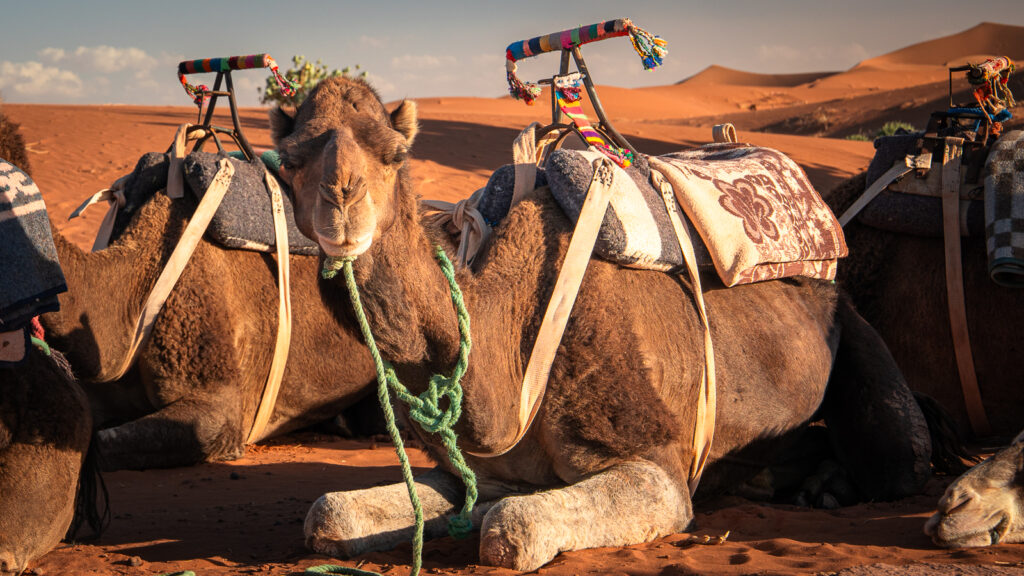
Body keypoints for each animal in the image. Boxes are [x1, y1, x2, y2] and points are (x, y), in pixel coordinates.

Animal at [272, 77, 935, 571]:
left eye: (395, 154)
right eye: (292, 158)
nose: (342, 202)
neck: (508, 346)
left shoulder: (656, 465)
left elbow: (508, 529)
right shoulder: (477, 468)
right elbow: (329, 512)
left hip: (859, 339)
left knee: (901, 462)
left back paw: (828, 486)